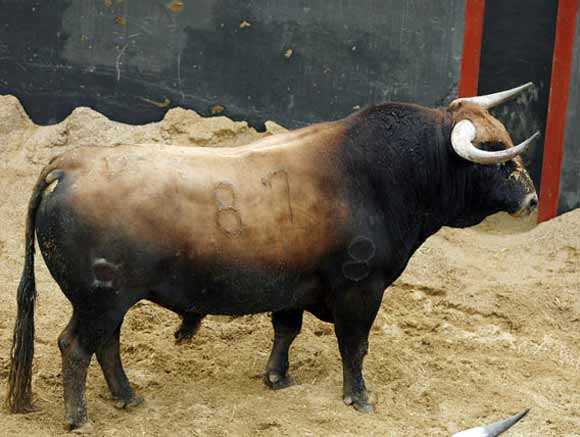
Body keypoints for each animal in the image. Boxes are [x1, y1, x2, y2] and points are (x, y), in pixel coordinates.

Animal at [6, 83, 536, 430]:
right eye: (494, 152)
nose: (532, 199)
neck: (383, 175)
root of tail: (70, 164)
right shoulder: (360, 290)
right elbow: (354, 346)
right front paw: (359, 398)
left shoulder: (293, 287)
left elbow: (287, 330)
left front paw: (277, 378)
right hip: (99, 300)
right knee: (77, 346)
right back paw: (79, 418)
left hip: (110, 302)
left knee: (107, 344)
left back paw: (128, 397)